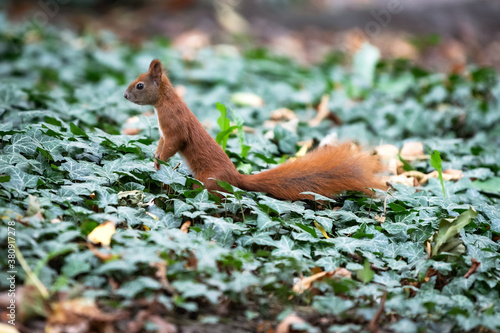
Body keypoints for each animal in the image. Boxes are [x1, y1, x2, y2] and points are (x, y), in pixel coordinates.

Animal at [123, 58, 384, 200]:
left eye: (139, 85)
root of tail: (236, 178)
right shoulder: (162, 132)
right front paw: (155, 160)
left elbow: (174, 144)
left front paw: (160, 161)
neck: (163, 102)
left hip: (208, 181)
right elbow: (161, 143)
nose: (125, 95)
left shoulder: (175, 127)